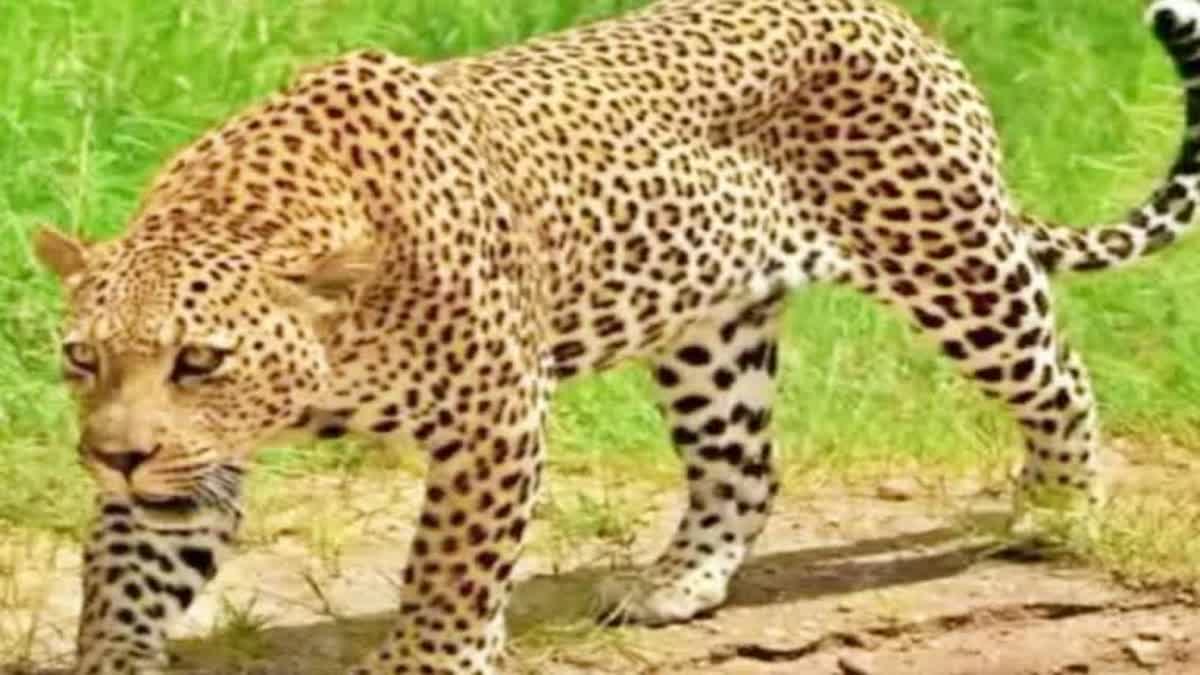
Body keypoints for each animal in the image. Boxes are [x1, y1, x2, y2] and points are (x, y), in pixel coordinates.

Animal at [31, 0, 1200, 673]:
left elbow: (451, 569)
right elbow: (125, 566)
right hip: (710, 332)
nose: (113, 455)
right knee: (744, 468)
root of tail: (892, 14)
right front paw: (114, 654)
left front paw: (428, 661)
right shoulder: (192, 464)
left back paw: (1058, 510)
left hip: (951, 256)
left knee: (1058, 373)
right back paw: (675, 583)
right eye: (83, 358)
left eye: (200, 360)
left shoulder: (496, 414)